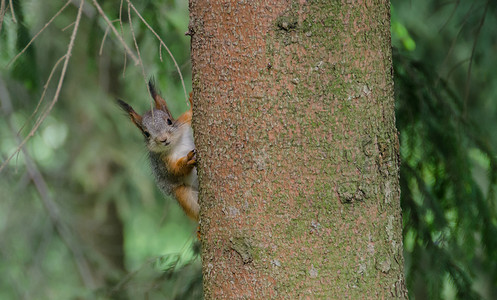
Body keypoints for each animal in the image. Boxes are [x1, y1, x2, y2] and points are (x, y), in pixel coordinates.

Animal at [117, 81, 199, 221]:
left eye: (169, 121)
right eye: (146, 134)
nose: (163, 139)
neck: (175, 145)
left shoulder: (184, 121)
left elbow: (190, 115)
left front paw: (193, 100)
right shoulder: (162, 163)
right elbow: (175, 171)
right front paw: (187, 161)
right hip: (184, 194)